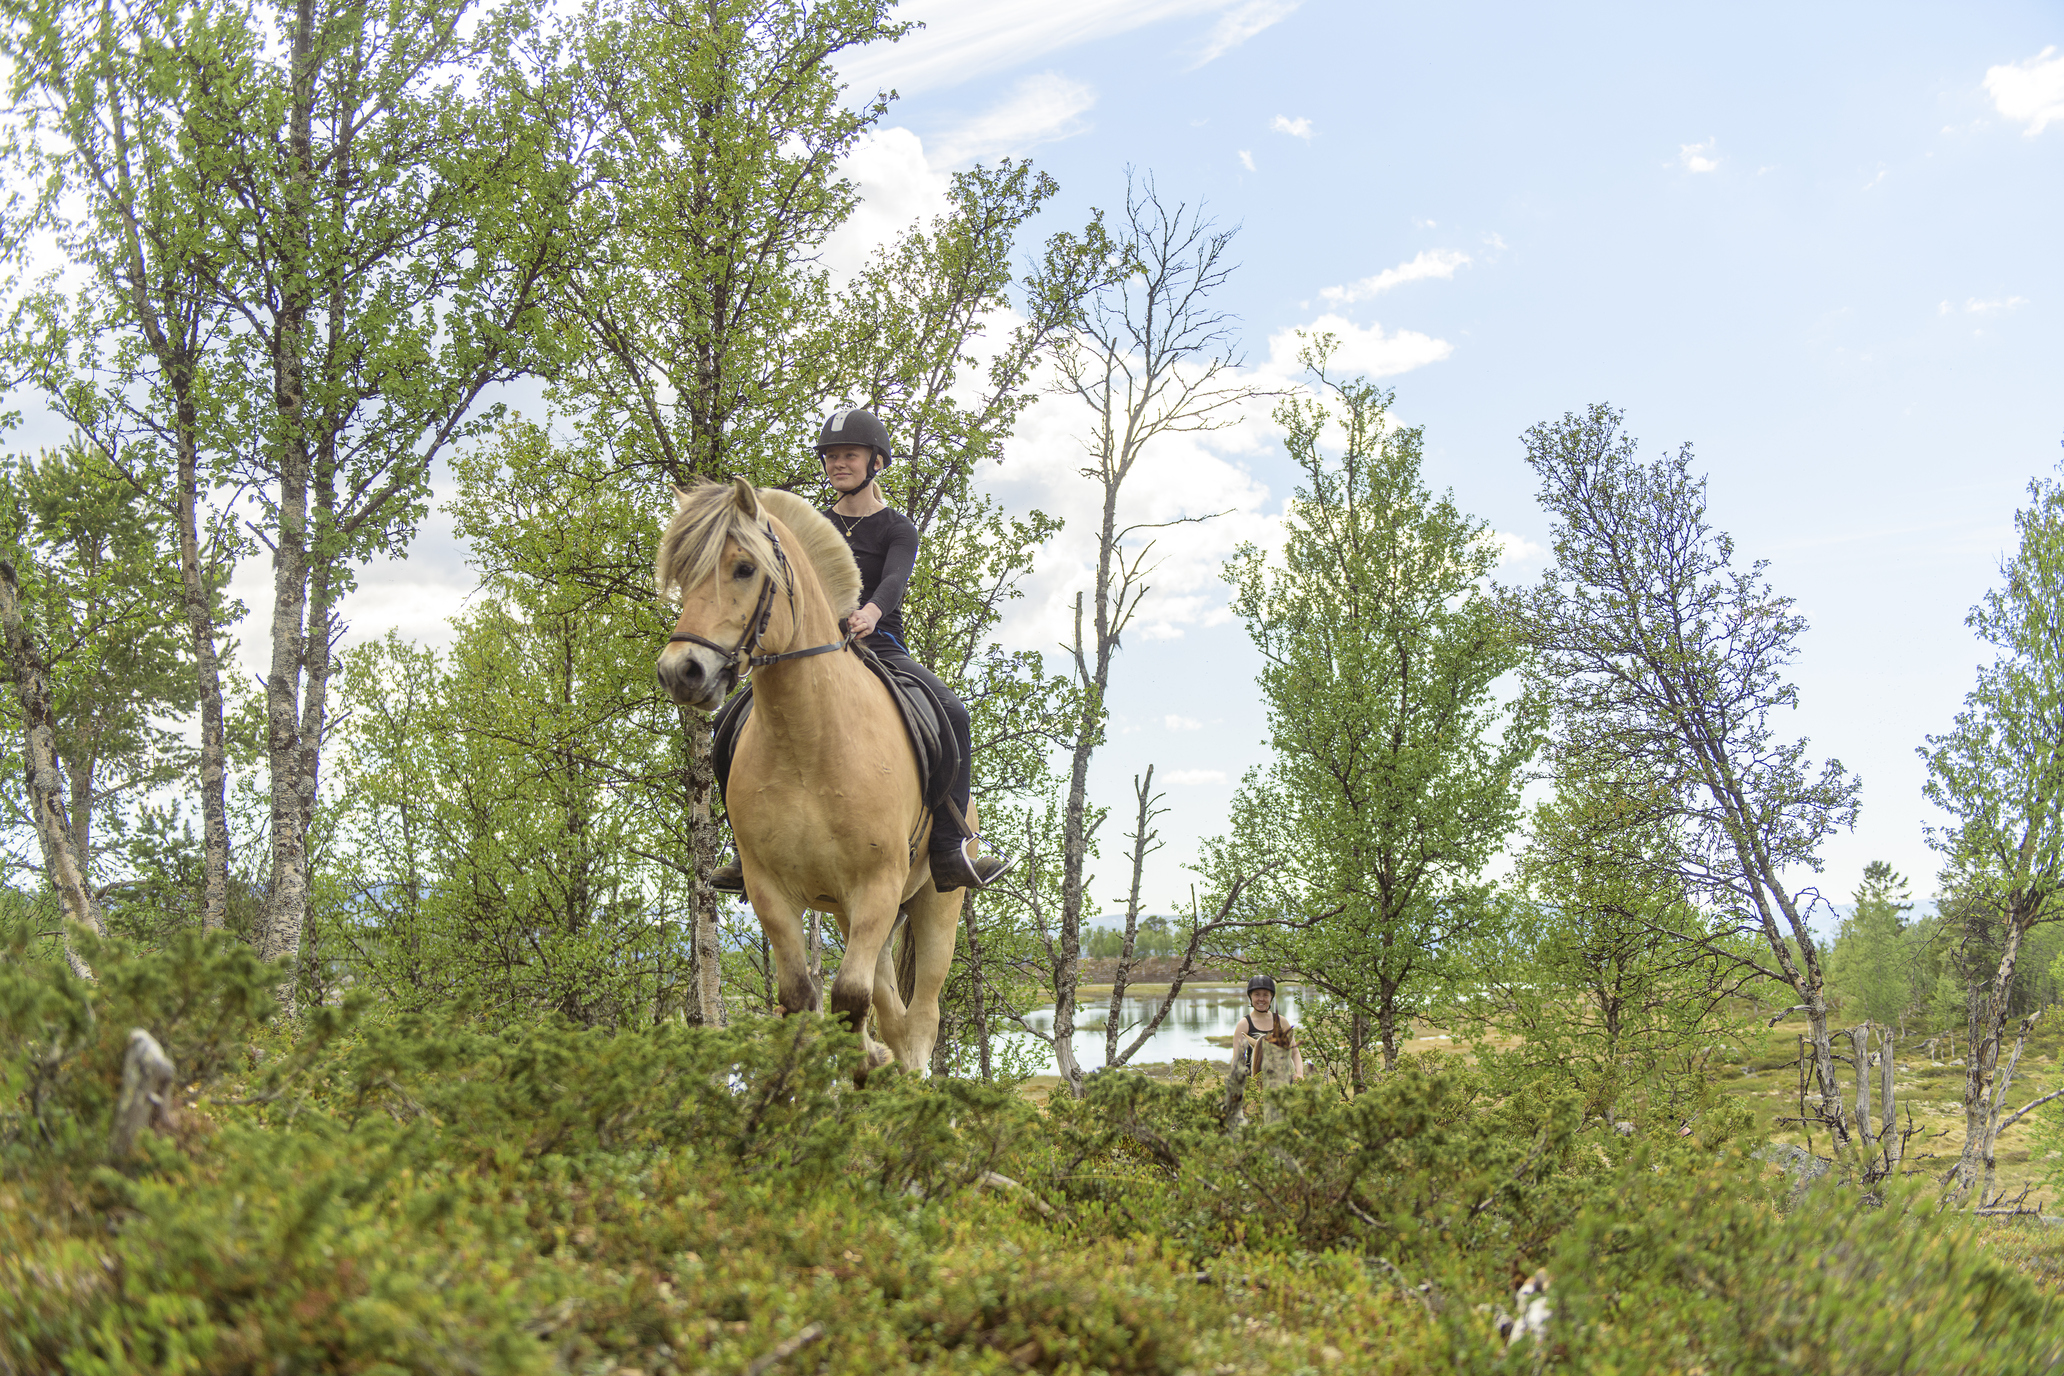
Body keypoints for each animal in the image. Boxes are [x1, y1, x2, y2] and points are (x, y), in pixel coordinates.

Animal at [652, 478, 965, 1072]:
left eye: (744, 568)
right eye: (682, 573)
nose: (681, 671)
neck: (809, 740)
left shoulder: (876, 887)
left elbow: (848, 1001)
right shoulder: (773, 892)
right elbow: (803, 1002)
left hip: (935, 903)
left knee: (920, 1019)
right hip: (849, 913)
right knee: (892, 1015)